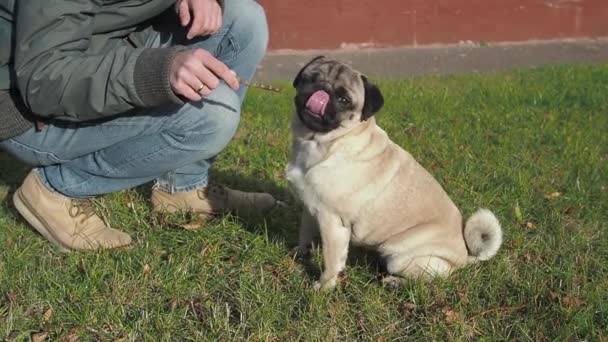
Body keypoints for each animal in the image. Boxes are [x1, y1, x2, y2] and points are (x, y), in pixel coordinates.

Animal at [284, 55, 504, 288]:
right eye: (310, 79)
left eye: (344, 100)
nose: (322, 90)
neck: (319, 143)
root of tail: (464, 258)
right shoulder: (310, 208)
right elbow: (305, 233)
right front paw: (301, 252)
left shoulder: (332, 221)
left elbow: (331, 260)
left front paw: (324, 287)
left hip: (399, 256)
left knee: (426, 278)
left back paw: (394, 282)